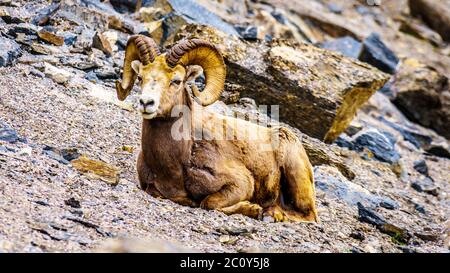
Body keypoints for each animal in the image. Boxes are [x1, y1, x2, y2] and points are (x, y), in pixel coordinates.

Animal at [116, 34, 318, 221]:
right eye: (140, 77)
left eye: (176, 81)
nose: (146, 102)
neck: (175, 164)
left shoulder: (241, 184)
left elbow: (208, 202)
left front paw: (252, 209)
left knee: (307, 215)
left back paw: (272, 214)